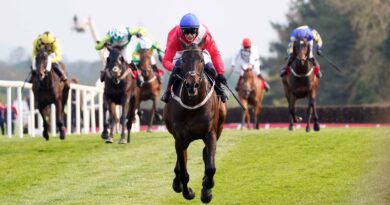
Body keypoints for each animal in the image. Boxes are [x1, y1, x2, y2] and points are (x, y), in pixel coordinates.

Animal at [163, 38, 227, 203]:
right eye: (184, 60)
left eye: (201, 59)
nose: (192, 84)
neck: (192, 105)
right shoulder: (180, 138)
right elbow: (184, 171)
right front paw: (188, 192)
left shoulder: (210, 133)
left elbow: (210, 167)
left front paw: (206, 191)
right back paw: (177, 182)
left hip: (219, 127)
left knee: (206, 155)